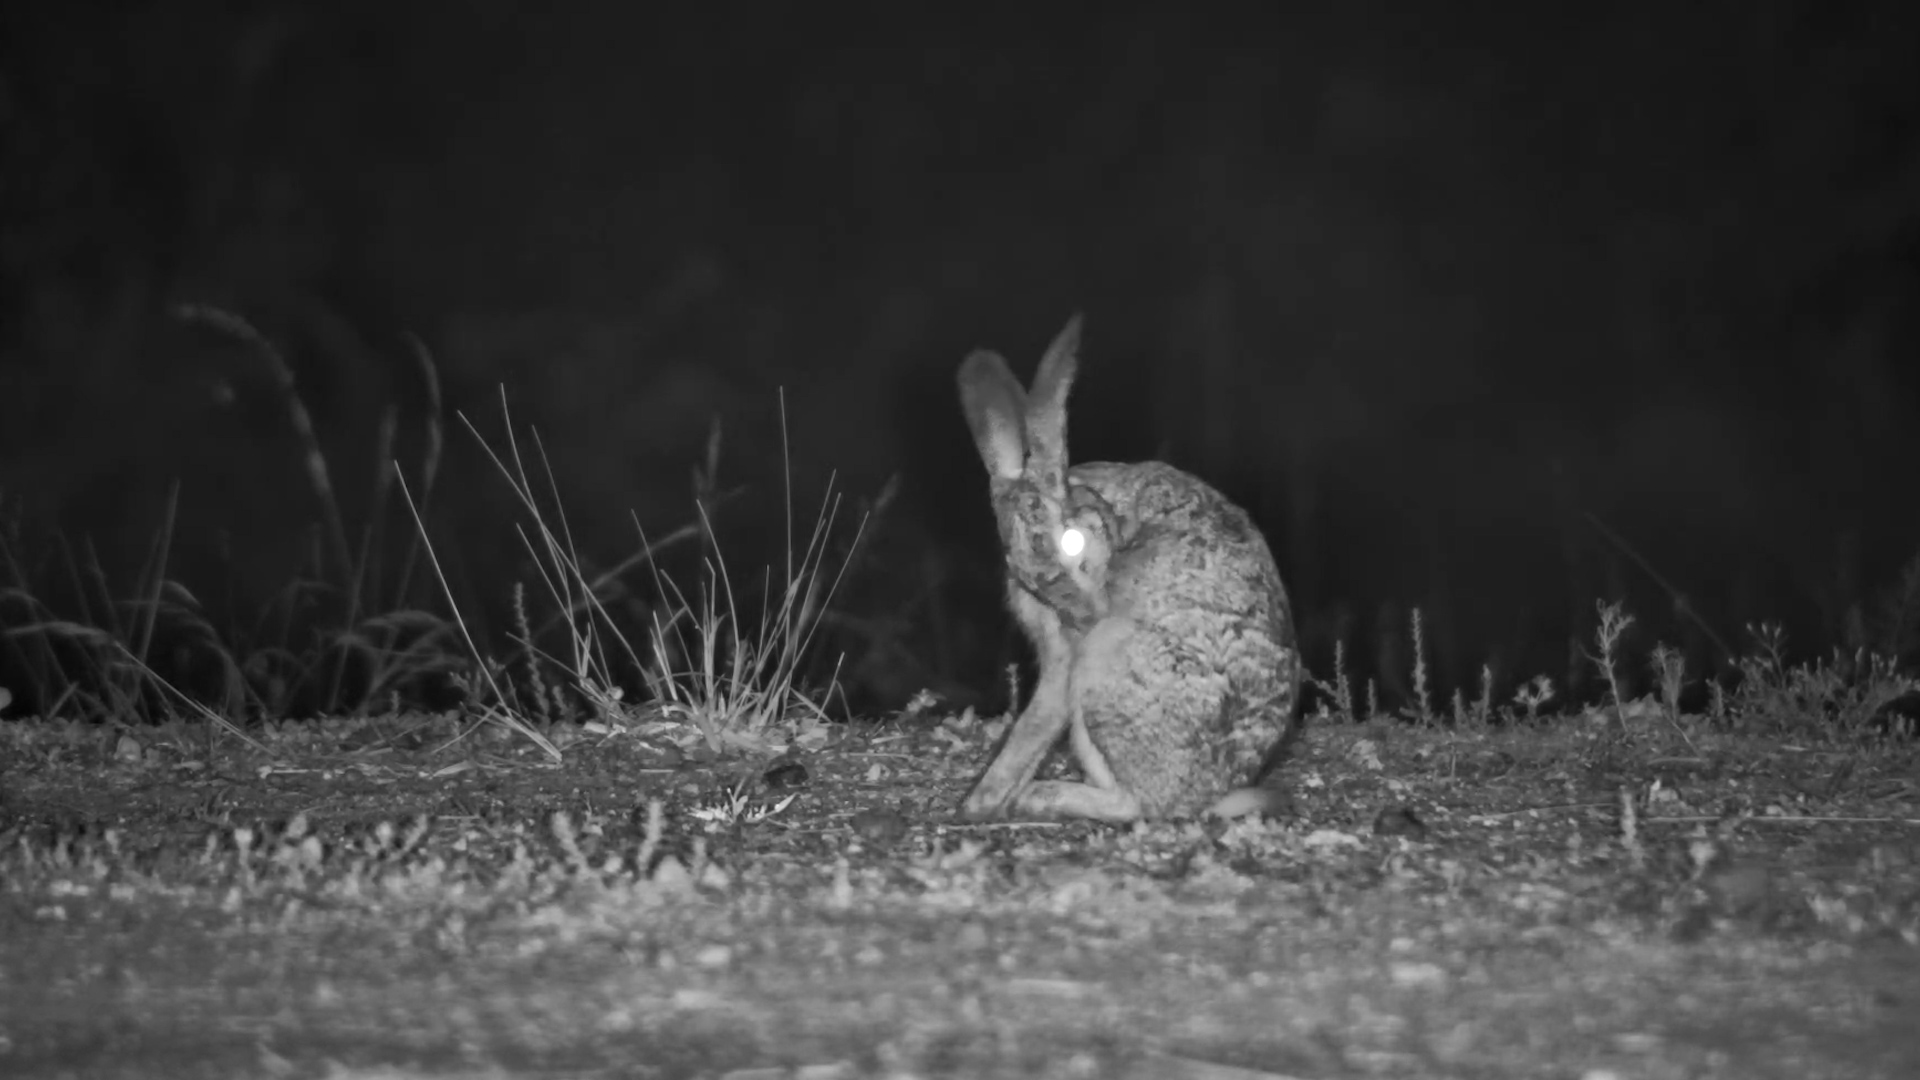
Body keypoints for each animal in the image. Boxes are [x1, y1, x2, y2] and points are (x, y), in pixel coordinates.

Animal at [955, 314, 1301, 823]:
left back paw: (1039, 794)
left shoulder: (1065, 659)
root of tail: (1207, 796)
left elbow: (1036, 722)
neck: (1108, 520)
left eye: (1073, 542)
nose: (1083, 616)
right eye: (1019, 570)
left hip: (1108, 668)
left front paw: (980, 801)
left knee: (1136, 807)